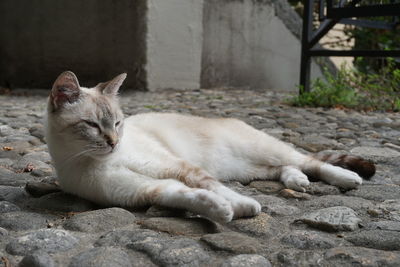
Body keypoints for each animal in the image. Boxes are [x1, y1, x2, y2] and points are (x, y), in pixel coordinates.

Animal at [45, 71, 376, 224]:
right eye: (92, 125)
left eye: (117, 123)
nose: (113, 143)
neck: (100, 160)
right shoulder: (145, 190)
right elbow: (186, 195)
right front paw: (222, 211)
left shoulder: (177, 167)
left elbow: (214, 188)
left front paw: (244, 207)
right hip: (246, 170)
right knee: (285, 168)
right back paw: (298, 181)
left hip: (259, 151)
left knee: (308, 160)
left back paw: (347, 178)